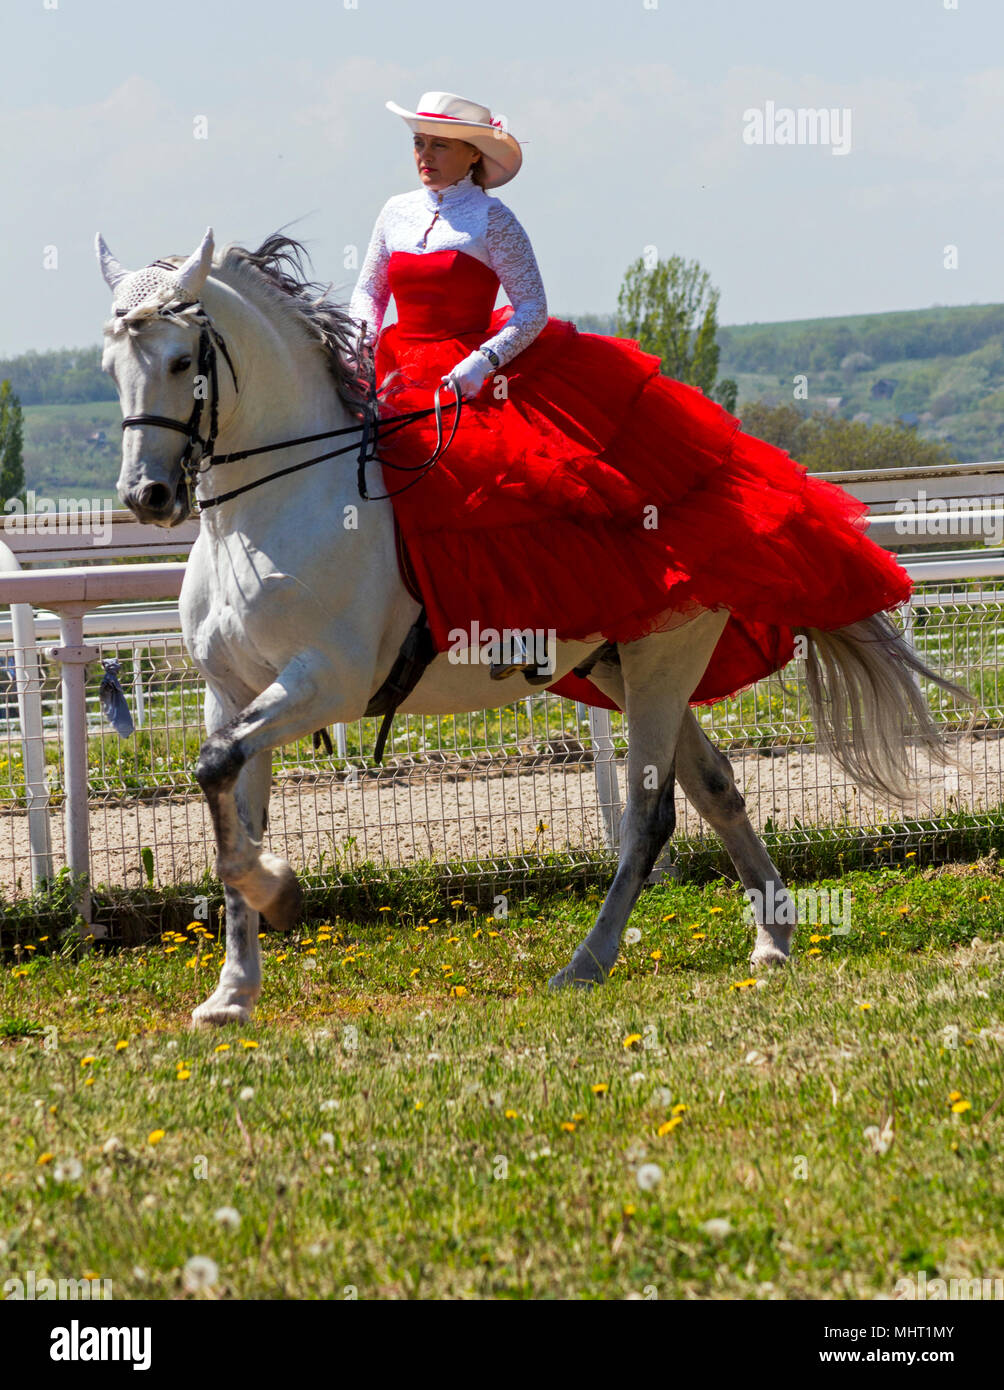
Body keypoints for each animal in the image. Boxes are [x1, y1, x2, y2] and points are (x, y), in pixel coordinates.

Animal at [98, 227, 967, 1028]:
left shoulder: (325, 683)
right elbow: (229, 804)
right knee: (716, 786)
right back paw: (773, 937)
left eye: (180, 360)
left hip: (664, 655)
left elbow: (217, 771)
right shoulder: (230, 689)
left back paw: (588, 962)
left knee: (650, 817)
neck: (269, 509)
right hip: (622, 662)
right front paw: (232, 991)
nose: (147, 496)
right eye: (112, 368)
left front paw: (279, 893)